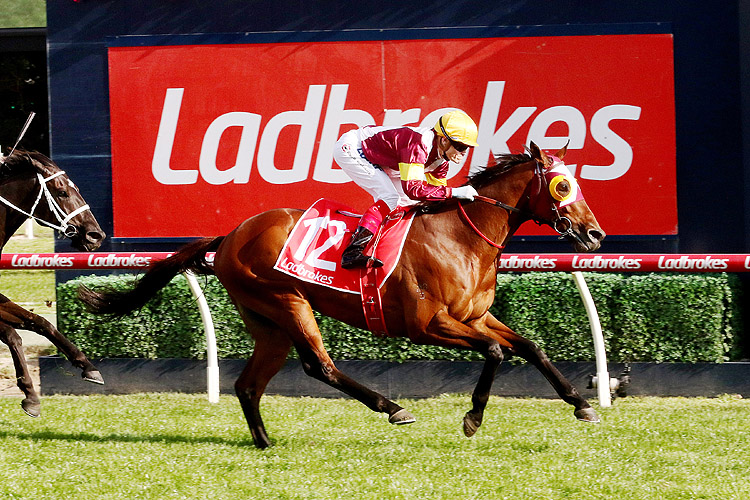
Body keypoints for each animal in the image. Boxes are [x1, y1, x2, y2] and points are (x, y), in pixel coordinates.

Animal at [0, 149, 106, 418]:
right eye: (62, 192)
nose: (96, 235)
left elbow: (39, 321)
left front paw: (87, 366)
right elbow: (12, 333)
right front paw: (30, 395)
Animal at [79, 142, 604, 450]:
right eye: (563, 185)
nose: (595, 234)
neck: (460, 236)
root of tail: (231, 235)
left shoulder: (475, 318)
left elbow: (531, 347)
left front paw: (582, 404)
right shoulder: (428, 325)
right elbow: (496, 352)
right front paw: (472, 417)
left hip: (268, 322)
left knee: (249, 384)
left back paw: (265, 442)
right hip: (288, 301)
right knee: (320, 366)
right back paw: (392, 408)